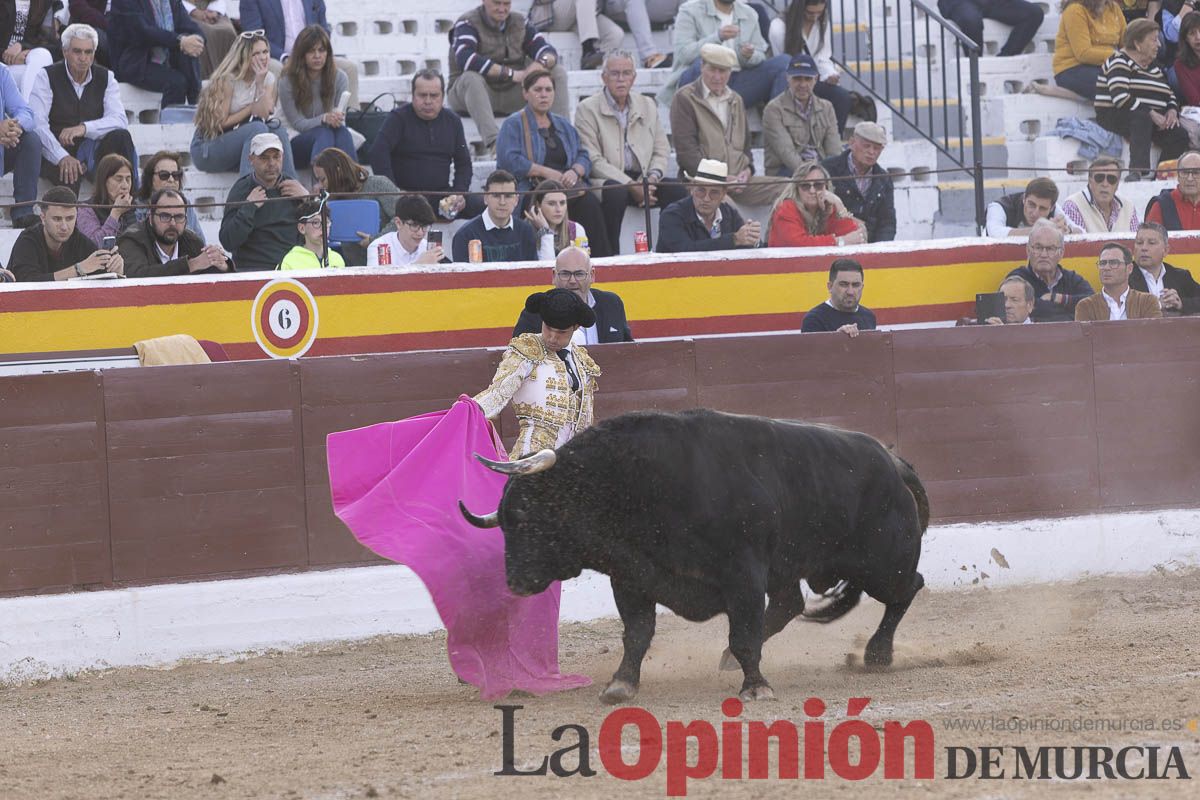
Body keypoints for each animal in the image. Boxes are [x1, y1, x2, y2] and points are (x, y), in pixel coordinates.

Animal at [458, 410, 926, 705]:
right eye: (504, 520)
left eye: (530, 514)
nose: (516, 582)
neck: (631, 482)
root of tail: (893, 460)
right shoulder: (632, 577)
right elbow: (637, 633)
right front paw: (620, 685)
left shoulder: (742, 575)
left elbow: (743, 634)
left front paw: (756, 688)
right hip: (798, 566)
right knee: (791, 602)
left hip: (882, 562)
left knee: (907, 589)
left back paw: (877, 654)